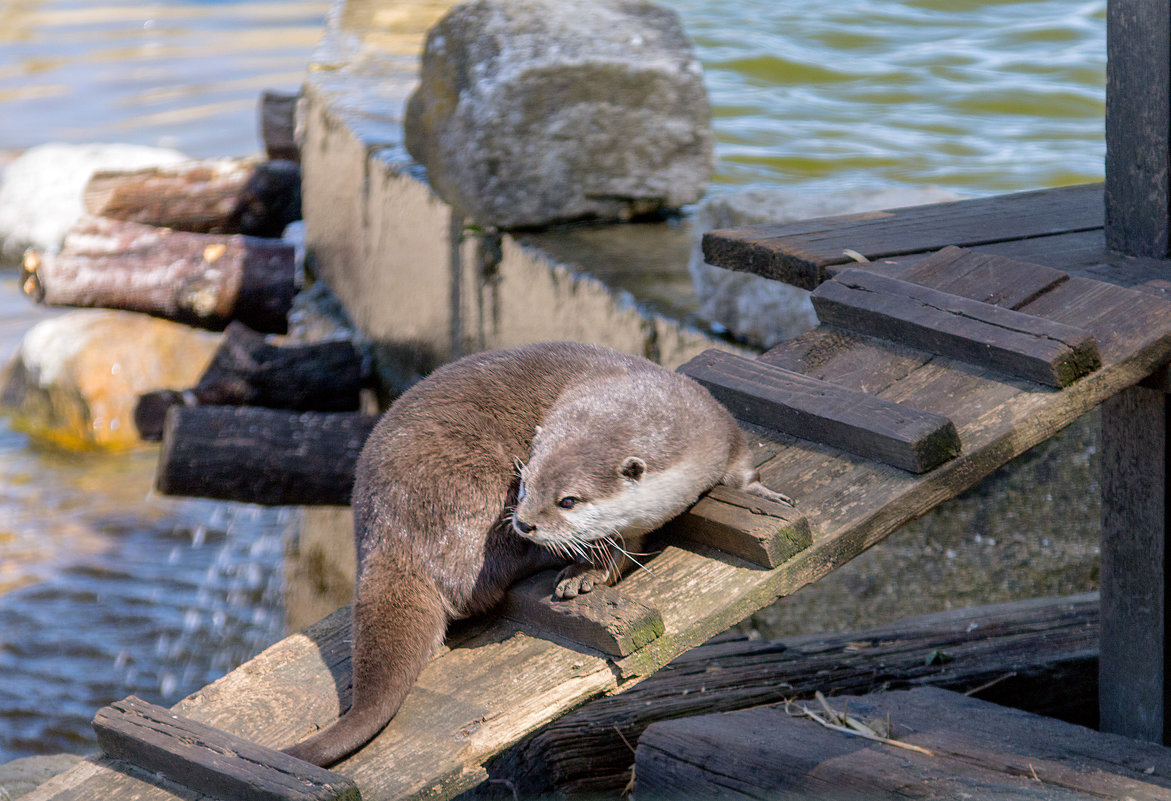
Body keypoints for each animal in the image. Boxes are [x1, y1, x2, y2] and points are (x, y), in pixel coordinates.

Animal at [282, 341, 791, 768]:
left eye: (568, 499)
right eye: (525, 483)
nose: (525, 521)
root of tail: (389, 536)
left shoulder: (715, 426)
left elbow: (741, 467)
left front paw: (767, 493)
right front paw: (591, 567)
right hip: (465, 495)